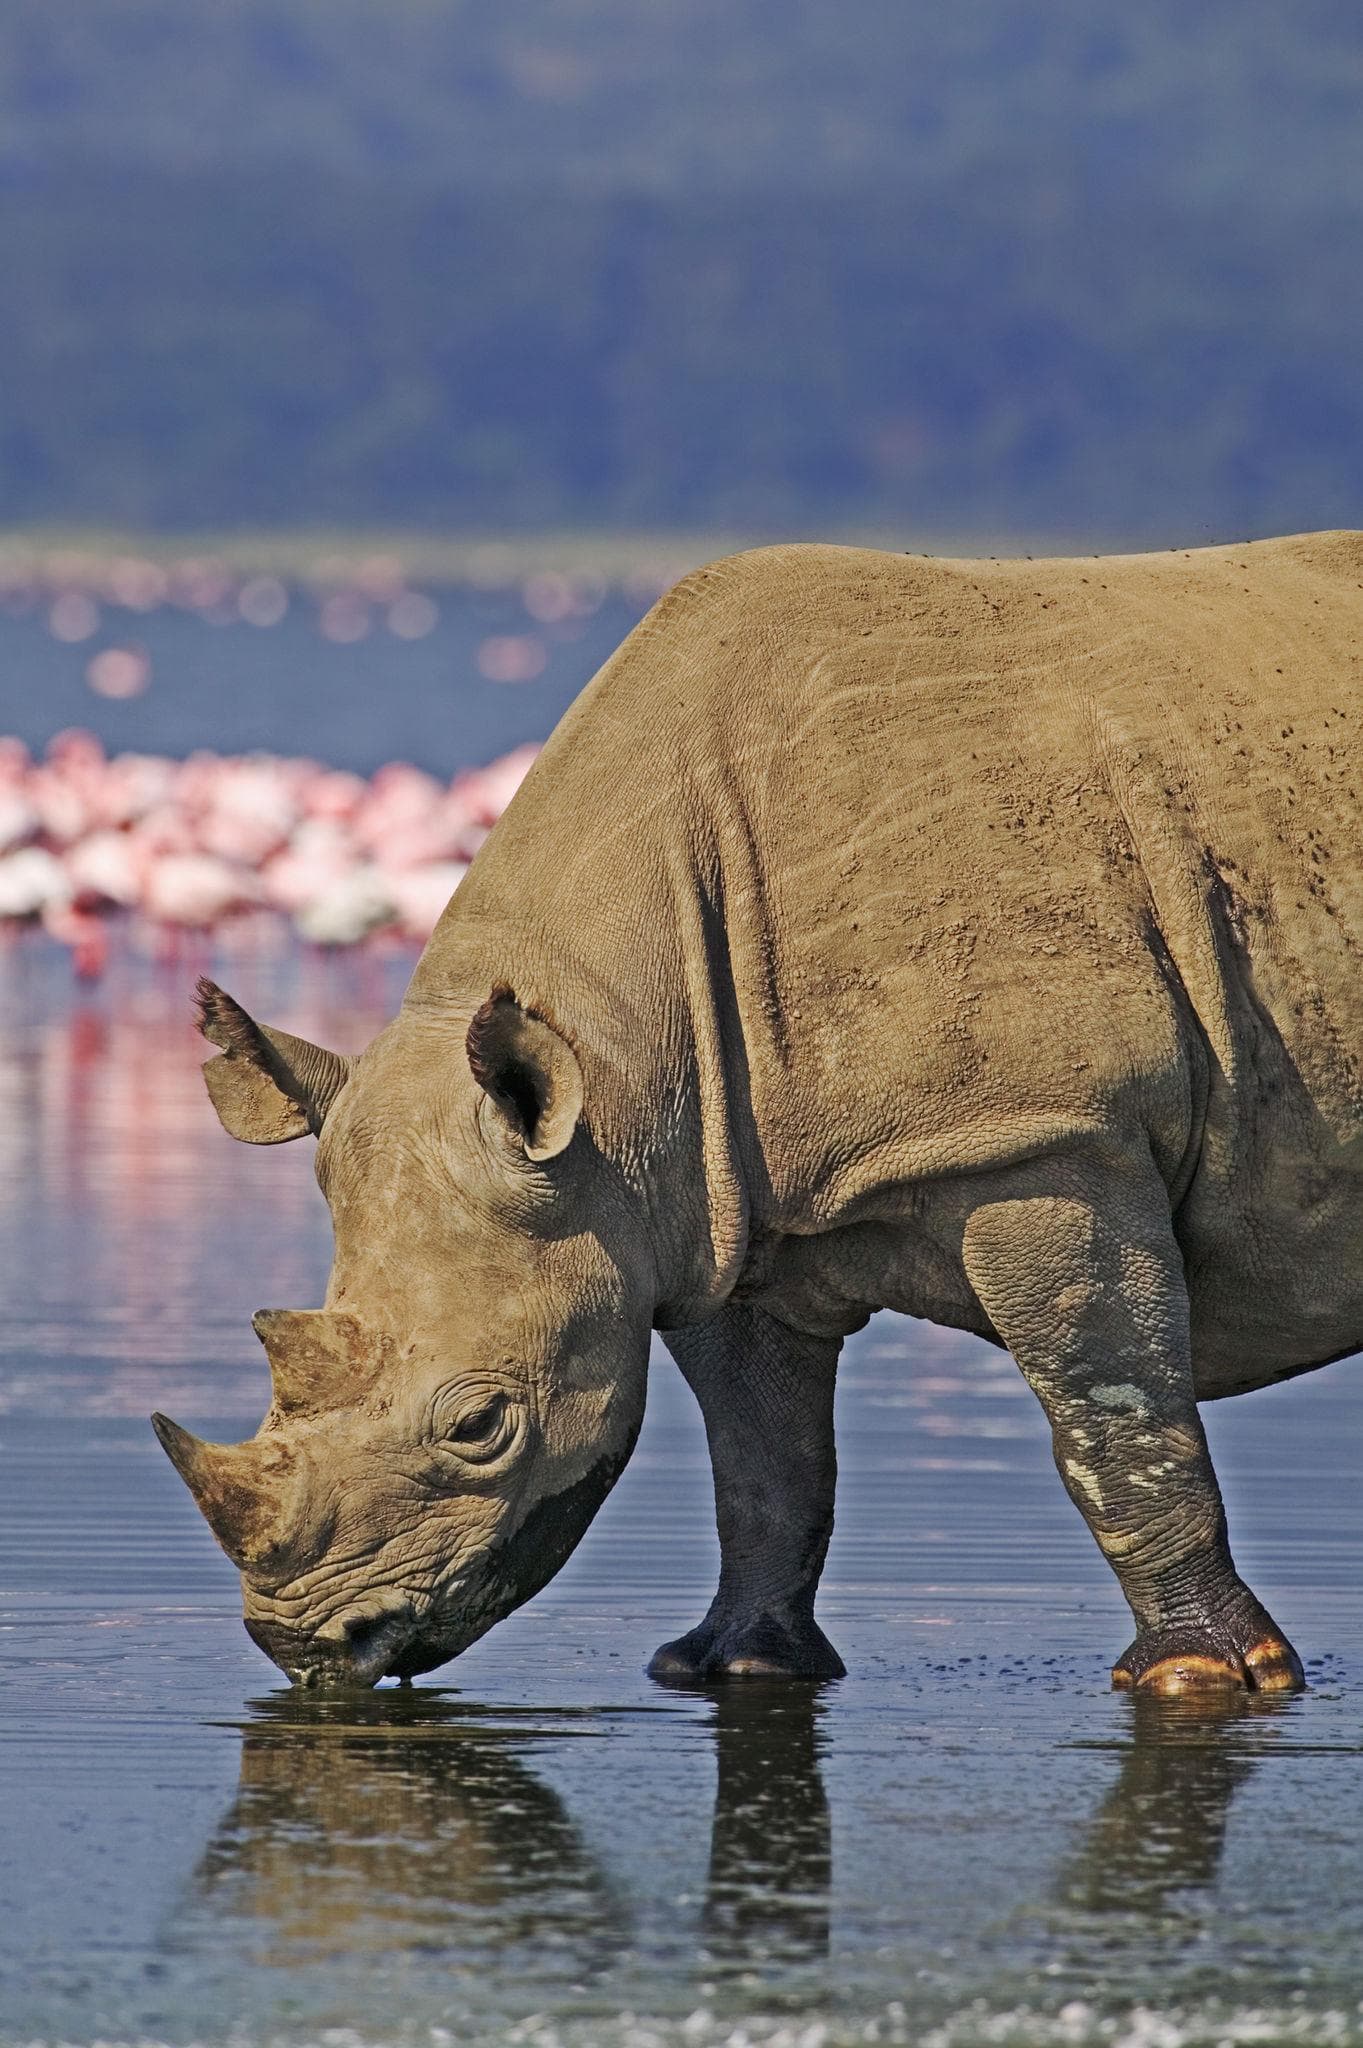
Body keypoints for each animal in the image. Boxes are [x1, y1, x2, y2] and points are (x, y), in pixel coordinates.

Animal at [155, 531, 1363, 1696]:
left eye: (480, 1426)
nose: (308, 1646)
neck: (614, 1072)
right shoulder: (701, 1198)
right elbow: (763, 1459)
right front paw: (732, 1665)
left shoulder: (1046, 1136)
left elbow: (1111, 1413)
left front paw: (1203, 1676)